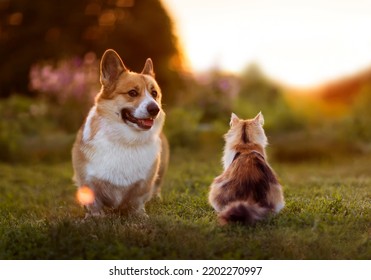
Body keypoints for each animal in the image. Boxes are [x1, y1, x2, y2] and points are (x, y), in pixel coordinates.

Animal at [71, 49, 170, 218]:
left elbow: (137, 201)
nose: (155, 109)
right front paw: (95, 218)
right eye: (132, 93)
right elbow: (94, 203)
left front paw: (140, 216)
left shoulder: (143, 185)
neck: (126, 139)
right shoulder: (88, 180)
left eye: (154, 93)